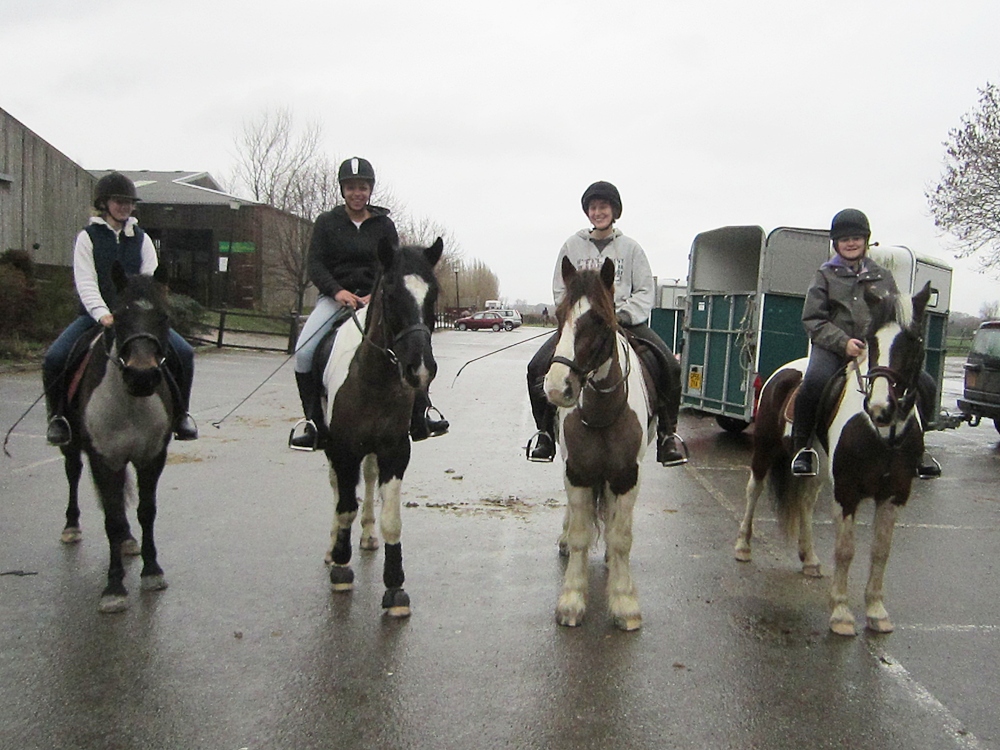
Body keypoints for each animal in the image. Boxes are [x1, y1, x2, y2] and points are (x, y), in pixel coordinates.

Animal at [58, 263, 175, 613]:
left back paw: (127, 539)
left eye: (164, 316)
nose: (142, 376)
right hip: (73, 445)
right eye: (119, 315)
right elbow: (110, 518)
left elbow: (146, 511)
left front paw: (152, 571)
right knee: (73, 473)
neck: (130, 402)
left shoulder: (152, 457)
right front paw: (113, 587)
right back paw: (72, 526)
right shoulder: (103, 458)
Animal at [320, 236, 443, 618]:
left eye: (434, 293)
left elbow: (392, 518)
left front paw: (395, 587)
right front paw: (342, 567)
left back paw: (368, 535)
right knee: (337, 489)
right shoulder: (342, 448)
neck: (373, 380)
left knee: (370, 478)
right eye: (389, 293)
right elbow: (344, 505)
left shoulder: (394, 450)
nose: (420, 368)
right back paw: (333, 548)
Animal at [543, 256, 657, 631]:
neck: (602, 411)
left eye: (599, 320)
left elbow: (621, 538)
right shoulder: (577, 471)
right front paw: (571, 601)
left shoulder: (625, 476)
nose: (556, 388)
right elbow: (581, 536)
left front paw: (624, 603)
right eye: (559, 314)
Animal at [735, 282, 932, 636]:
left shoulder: (894, 494)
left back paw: (810, 559)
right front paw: (841, 613)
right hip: (765, 450)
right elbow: (845, 550)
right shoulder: (847, 491)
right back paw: (743, 546)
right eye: (871, 341)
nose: (880, 408)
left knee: (804, 502)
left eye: (913, 340)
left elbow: (880, 551)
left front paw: (876, 611)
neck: (882, 434)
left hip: (818, 469)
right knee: (753, 490)